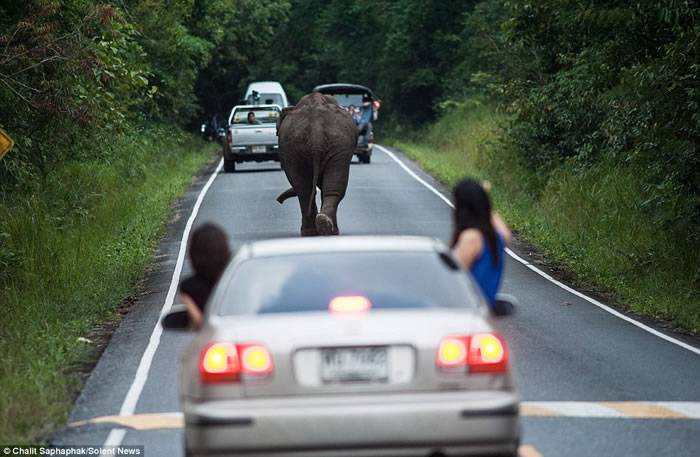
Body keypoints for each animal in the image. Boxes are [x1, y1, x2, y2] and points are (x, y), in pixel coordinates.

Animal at [276, 91, 358, 237]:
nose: (279, 200)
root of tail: (316, 131)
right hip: (310, 146)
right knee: (314, 190)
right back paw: (320, 229)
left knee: (307, 190)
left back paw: (321, 229)